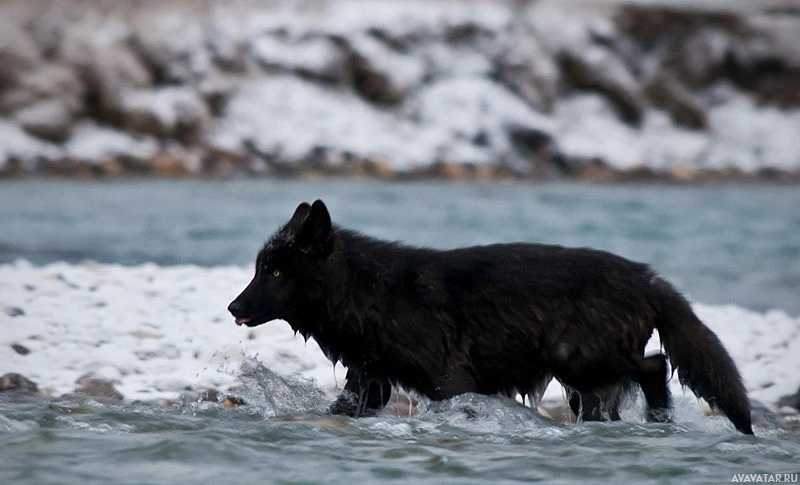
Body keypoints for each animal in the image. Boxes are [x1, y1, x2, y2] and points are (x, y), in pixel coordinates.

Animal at [228, 199, 752, 432]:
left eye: (275, 272)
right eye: (260, 269)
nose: (232, 307)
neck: (370, 293)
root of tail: (648, 279)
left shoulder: (449, 382)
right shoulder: (370, 385)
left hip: (578, 361)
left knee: (656, 366)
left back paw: (662, 422)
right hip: (583, 384)